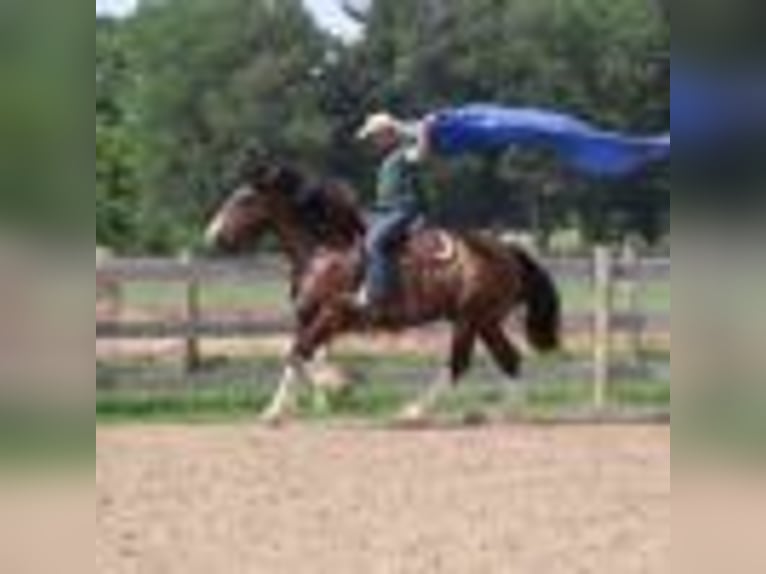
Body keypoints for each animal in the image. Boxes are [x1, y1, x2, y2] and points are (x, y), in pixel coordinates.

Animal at [204, 157, 562, 423]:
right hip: (485, 321)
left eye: (245, 199)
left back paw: (414, 411)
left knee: (458, 364)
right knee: (509, 359)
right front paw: (288, 405)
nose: (213, 236)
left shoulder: (332, 315)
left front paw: (328, 389)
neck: (325, 250)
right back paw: (503, 413)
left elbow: (301, 353)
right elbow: (297, 354)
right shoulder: (307, 317)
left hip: (468, 319)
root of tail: (507, 250)